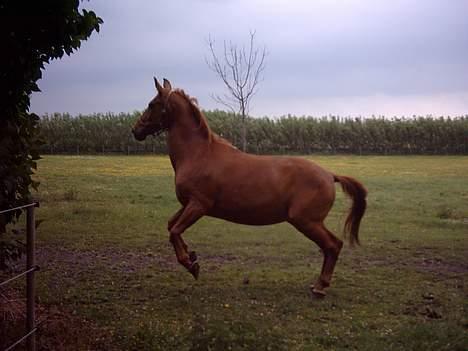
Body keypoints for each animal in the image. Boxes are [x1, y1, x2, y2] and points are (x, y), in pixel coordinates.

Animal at [131, 77, 366, 296]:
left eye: (152, 104)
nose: (135, 130)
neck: (199, 154)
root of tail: (329, 175)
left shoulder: (198, 205)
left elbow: (174, 231)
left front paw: (191, 265)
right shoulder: (188, 204)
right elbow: (171, 225)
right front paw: (191, 254)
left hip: (306, 221)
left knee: (333, 245)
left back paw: (319, 287)